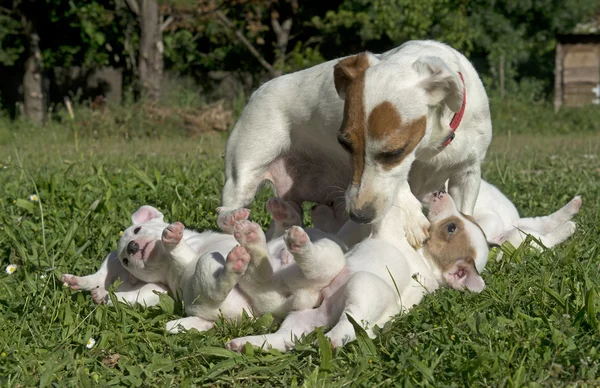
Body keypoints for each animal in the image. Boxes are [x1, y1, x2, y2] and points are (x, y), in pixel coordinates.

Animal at [220, 38, 492, 246]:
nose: (359, 216)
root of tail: (258, 91)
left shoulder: (467, 174)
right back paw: (234, 223)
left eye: (395, 152)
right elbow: (399, 185)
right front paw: (412, 218)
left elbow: (463, 210)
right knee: (225, 214)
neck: (430, 149)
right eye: (345, 144)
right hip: (243, 173)